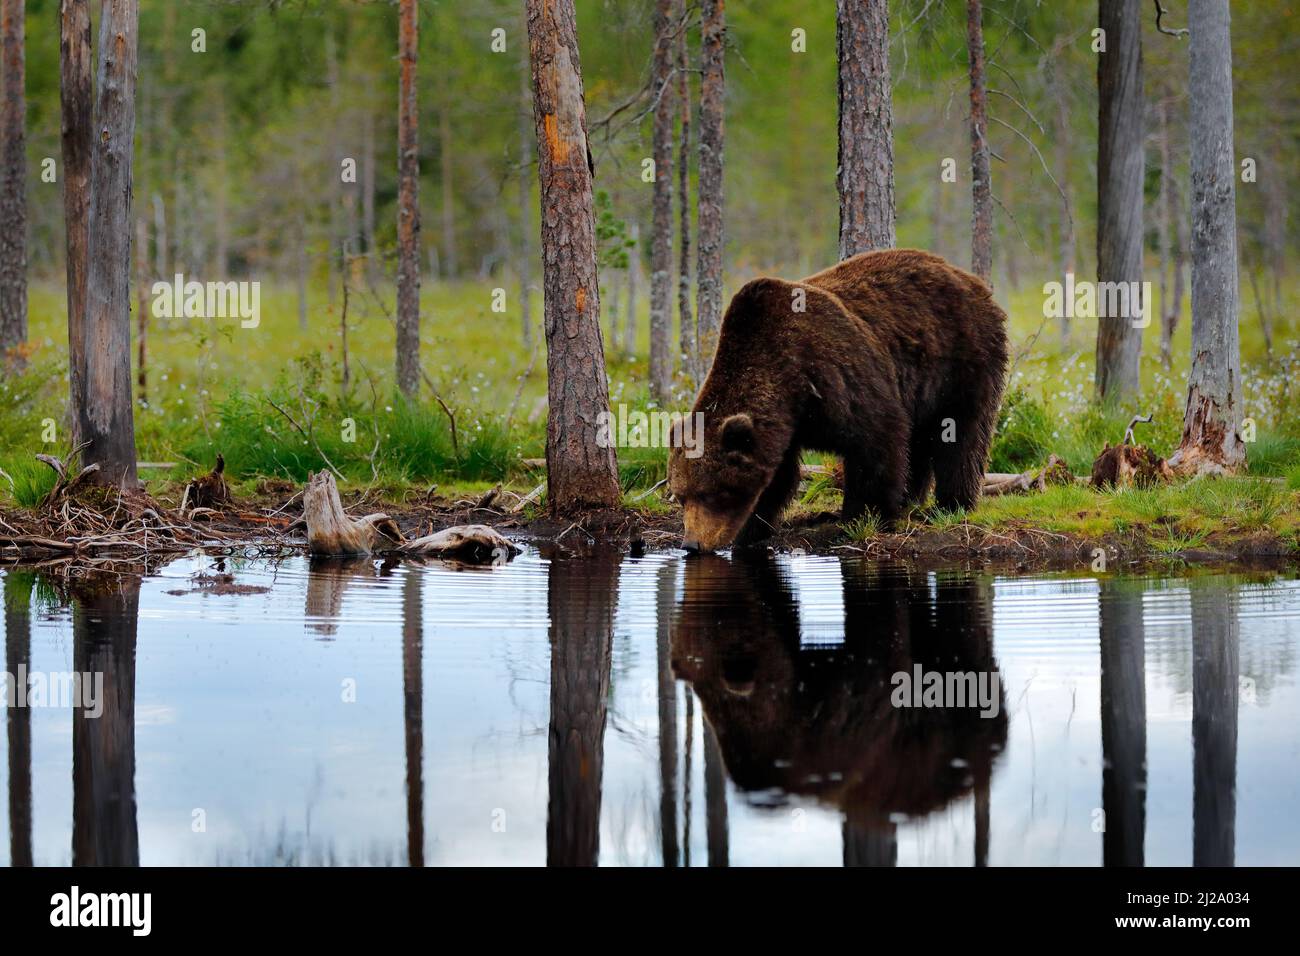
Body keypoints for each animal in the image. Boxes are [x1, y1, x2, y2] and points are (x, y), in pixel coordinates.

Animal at [668, 248, 1007, 551]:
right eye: (681, 494)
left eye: (711, 493)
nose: (691, 544)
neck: (788, 383)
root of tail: (973, 281)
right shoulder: (783, 427)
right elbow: (777, 477)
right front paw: (751, 529)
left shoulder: (834, 376)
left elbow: (877, 439)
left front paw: (863, 517)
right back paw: (911, 499)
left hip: (963, 358)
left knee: (962, 434)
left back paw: (951, 505)